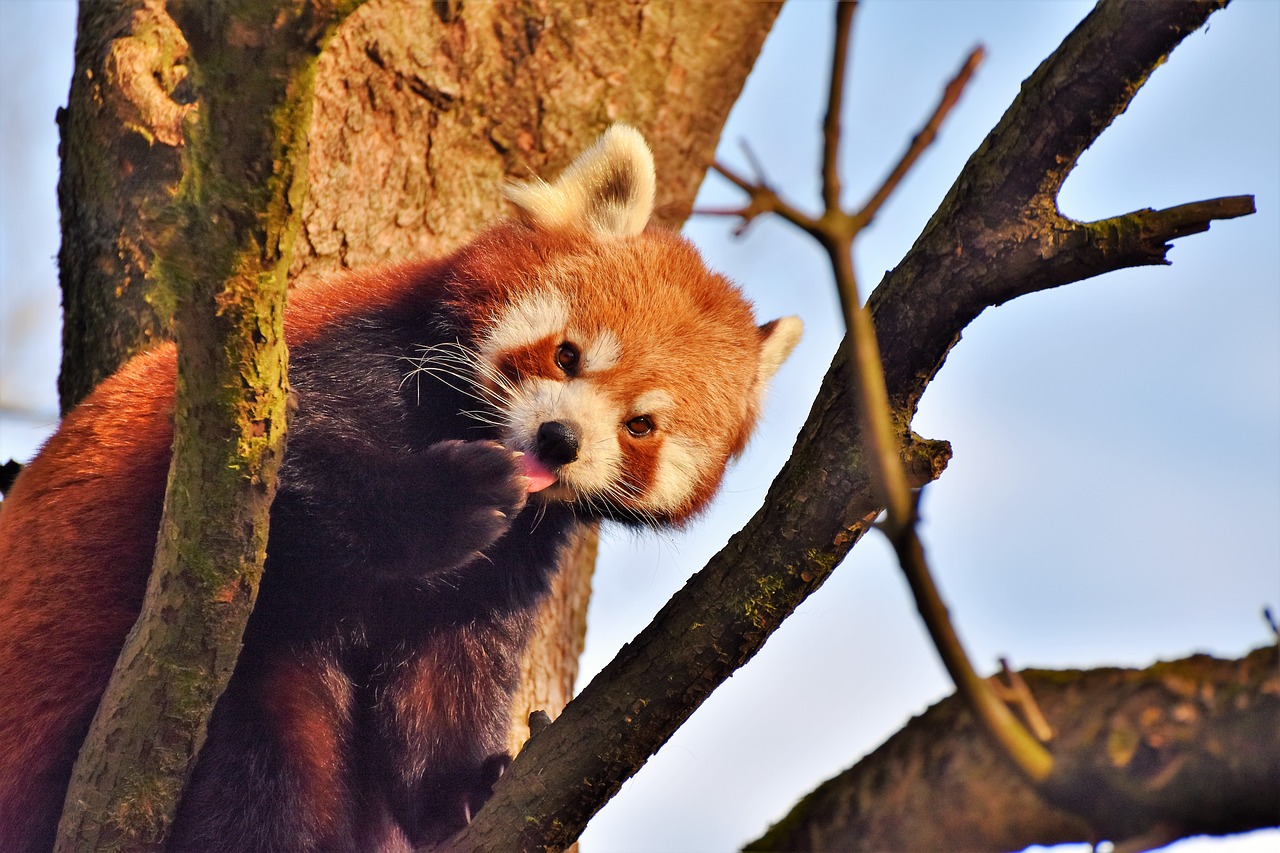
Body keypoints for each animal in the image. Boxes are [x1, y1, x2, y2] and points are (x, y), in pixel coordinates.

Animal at [0, 128, 798, 850]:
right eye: (568, 355)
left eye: (640, 426)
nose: (559, 440)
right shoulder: (313, 377)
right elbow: (303, 477)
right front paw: (453, 498)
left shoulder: (511, 565)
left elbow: (448, 667)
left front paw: (466, 790)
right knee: (269, 739)